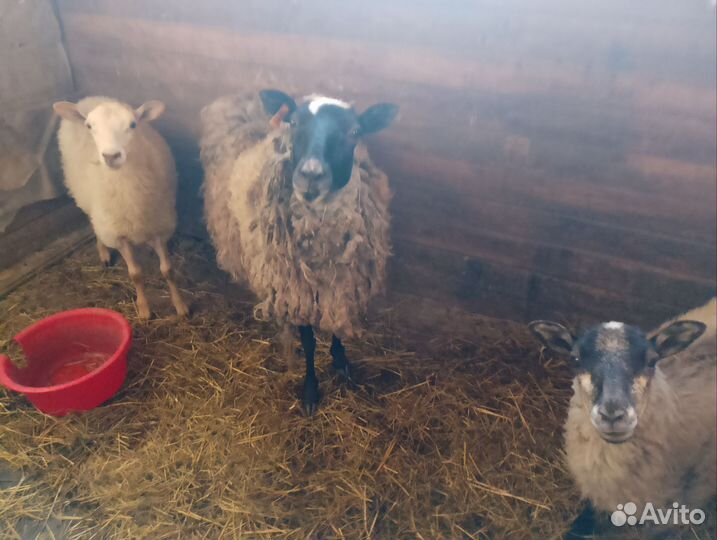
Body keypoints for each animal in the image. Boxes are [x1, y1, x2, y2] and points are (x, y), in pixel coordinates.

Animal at [52, 97, 188, 320]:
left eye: (133, 124)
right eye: (89, 126)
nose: (111, 155)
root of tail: (90, 98)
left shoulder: (159, 227)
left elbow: (167, 270)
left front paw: (180, 306)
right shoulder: (119, 235)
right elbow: (135, 274)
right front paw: (144, 309)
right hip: (94, 209)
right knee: (95, 226)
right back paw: (104, 254)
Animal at [200, 90, 398, 414]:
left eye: (354, 132)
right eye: (293, 123)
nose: (310, 175)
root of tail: (245, 94)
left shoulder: (341, 285)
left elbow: (336, 326)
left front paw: (341, 362)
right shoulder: (295, 291)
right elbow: (309, 342)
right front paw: (310, 391)